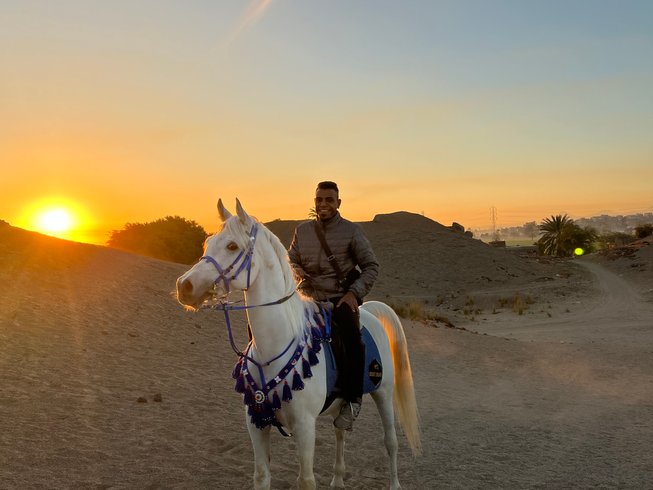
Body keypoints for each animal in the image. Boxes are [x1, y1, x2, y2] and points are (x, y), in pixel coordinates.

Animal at [176, 199, 420, 490]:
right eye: (208, 242)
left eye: (232, 246)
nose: (184, 286)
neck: (271, 351)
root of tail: (369, 310)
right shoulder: (256, 424)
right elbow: (261, 476)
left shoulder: (305, 428)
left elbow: (306, 480)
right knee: (340, 434)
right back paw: (337, 479)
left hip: (383, 392)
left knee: (390, 442)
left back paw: (393, 482)